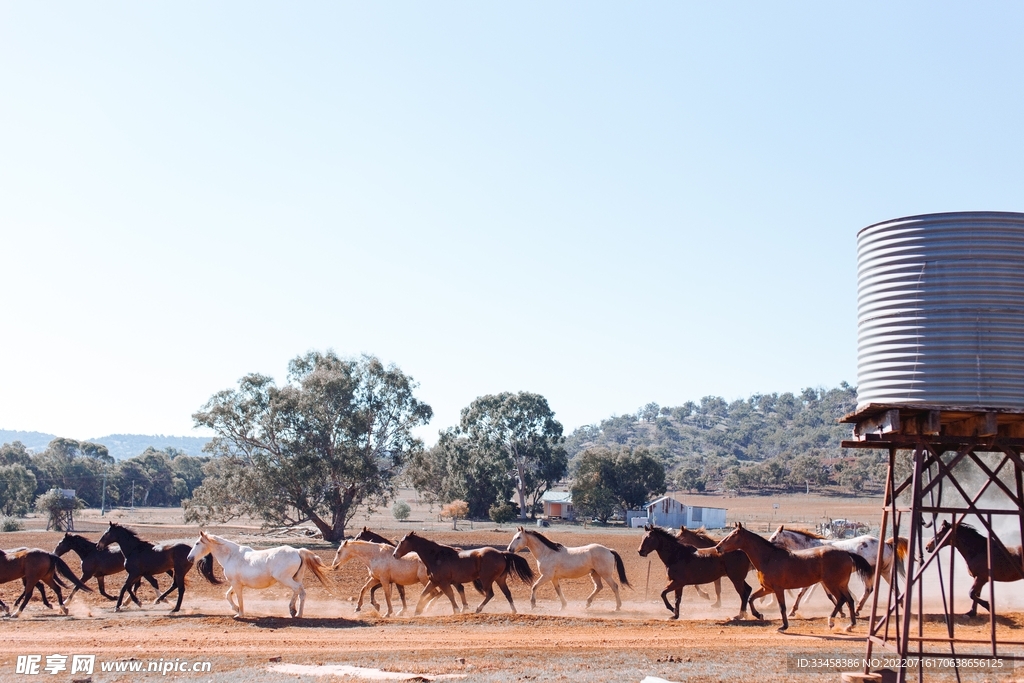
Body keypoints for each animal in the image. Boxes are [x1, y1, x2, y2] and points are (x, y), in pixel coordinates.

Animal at [184, 532, 327, 622]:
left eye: (197, 543)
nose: (189, 558)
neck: (231, 555)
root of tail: (298, 551)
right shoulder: (236, 583)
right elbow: (228, 595)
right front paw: (236, 609)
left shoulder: (236, 584)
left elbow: (239, 598)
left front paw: (239, 614)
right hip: (296, 578)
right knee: (302, 593)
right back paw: (298, 614)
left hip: (285, 579)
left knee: (297, 590)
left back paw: (292, 610)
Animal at [393, 532, 536, 618]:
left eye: (402, 542)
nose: (394, 555)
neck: (436, 556)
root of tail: (501, 554)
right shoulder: (434, 581)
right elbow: (424, 594)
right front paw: (417, 611)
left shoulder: (444, 582)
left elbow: (450, 595)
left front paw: (456, 610)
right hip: (500, 579)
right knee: (507, 593)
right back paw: (513, 611)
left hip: (486, 580)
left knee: (490, 594)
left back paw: (478, 609)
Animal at [712, 524, 872, 630]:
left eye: (733, 535)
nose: (718, 547)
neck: (768, 558)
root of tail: (847, 553)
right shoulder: (767, 588)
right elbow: (751, 598)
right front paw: (759, 615)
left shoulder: (778, 589)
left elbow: (782, 607)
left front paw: (784, 626)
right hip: (841, 584)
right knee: (849, 600)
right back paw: (851, 625)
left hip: (832, 584)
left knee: (842, 599)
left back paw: (831, 621)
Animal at [770, 528, 905, 618]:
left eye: (774, 537)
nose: (768, 545)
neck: (810, 547)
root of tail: (886, 544)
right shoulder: (822, 579)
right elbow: (829, 595)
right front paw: (842, 611)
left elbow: (801, 592)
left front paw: (792, 611)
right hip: (884, 571)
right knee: (893, 588)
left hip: (871, 572)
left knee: (869, 589)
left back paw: (858, 609)